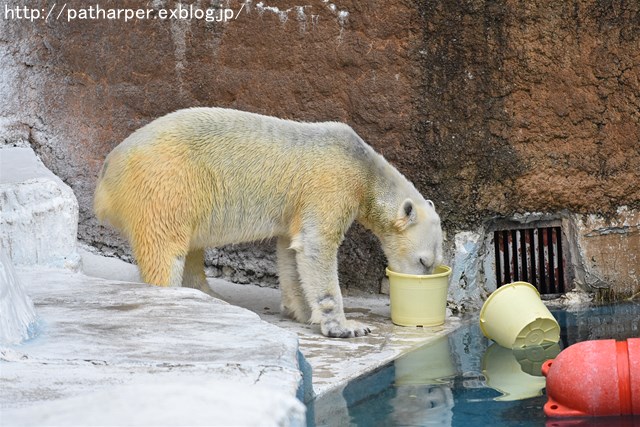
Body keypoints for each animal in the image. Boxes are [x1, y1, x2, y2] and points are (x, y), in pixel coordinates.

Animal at [95, 108, 442, 340]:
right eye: (424, 260)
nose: (423, 283)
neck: (364, 169)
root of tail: (107, 174)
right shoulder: (331, 185)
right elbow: (317, 245)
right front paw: (346, 326)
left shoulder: (297, 207)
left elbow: (291, 250)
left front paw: (302, 312)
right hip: (166, 184)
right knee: (165, 248)